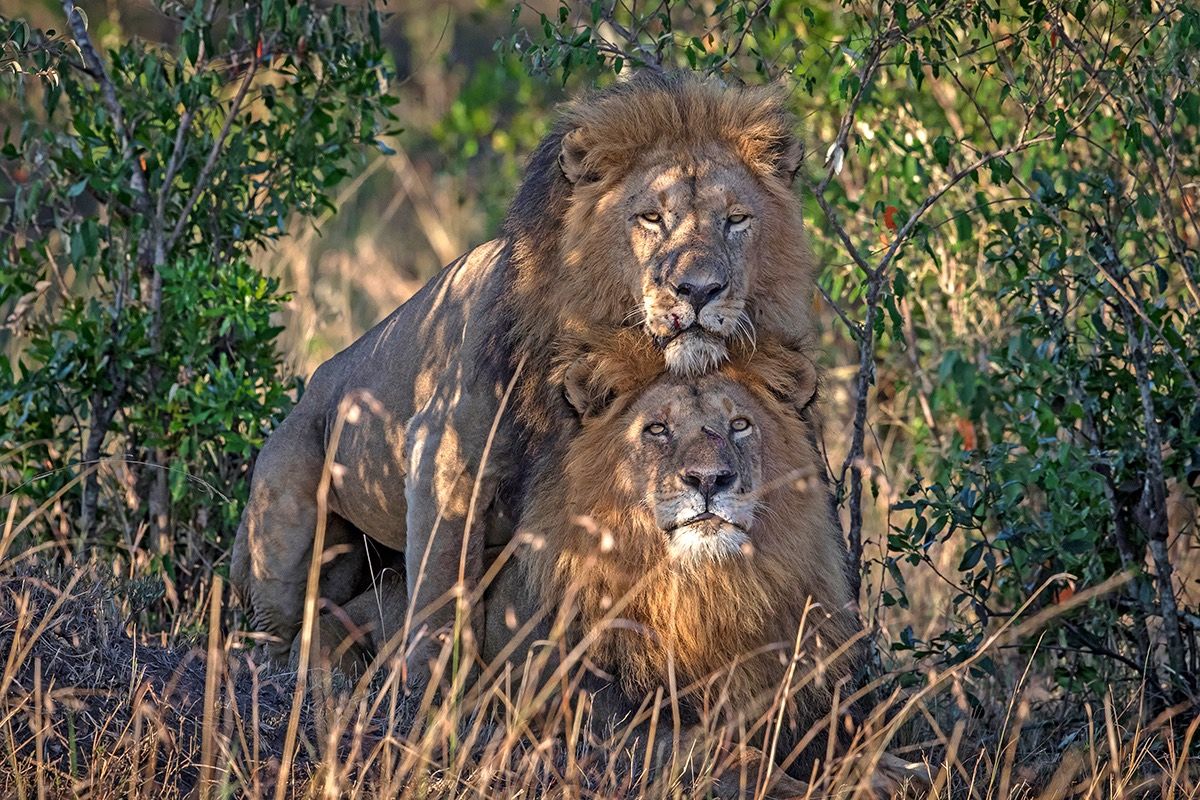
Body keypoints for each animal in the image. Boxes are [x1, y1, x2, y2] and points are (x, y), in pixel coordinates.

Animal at [228, 71, 820, 681]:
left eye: (736, 220)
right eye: (652, 218)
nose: (700, 290)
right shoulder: (442, 456)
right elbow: (439, 595)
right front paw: (428, 690)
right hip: (283, 525)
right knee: (274, 631)